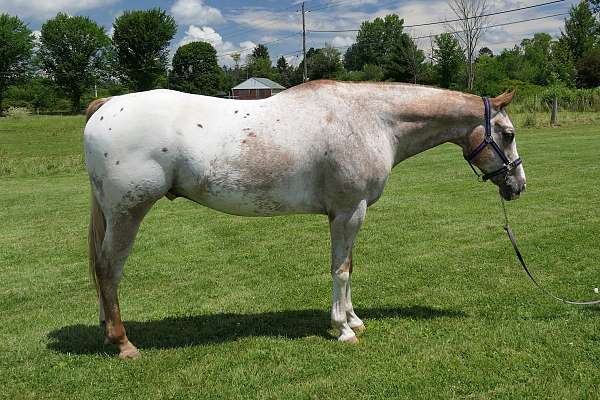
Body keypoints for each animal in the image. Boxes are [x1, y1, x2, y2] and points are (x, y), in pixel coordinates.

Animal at [84, 80, 524, 360]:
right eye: (507, 133)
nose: (518, 185)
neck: (371, 119)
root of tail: (107, 105)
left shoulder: (348, 214)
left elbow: (348, 267)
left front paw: (354, 320)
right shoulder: (349, 211)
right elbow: (341, 270)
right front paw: (343, 329)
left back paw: (108, 332)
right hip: (128, 213)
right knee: (108, 270)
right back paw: (123, 343)